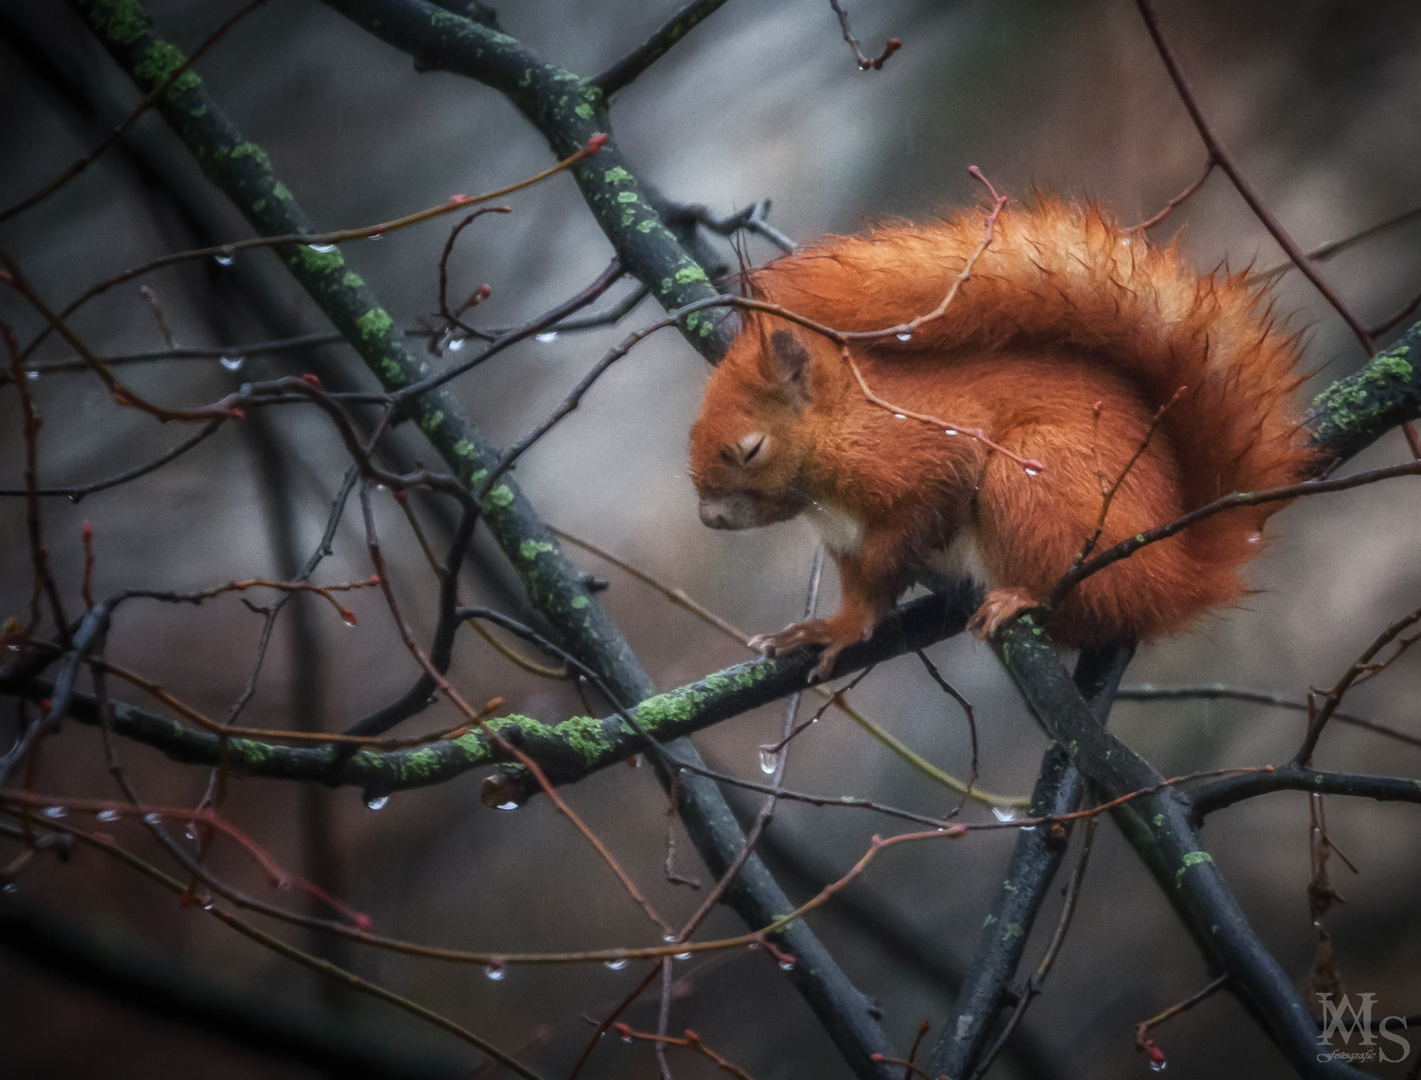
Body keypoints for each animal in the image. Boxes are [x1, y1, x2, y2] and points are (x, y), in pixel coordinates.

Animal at [684, 198, 1307, 679]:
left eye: (751, 449)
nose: (709, 518)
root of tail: (1175, 574)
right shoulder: (844, 539)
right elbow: (859, 594)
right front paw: (831, 627)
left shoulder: (924, 453)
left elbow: (903, 541)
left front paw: (845, 624)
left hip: (1031, 482)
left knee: (1092, 604)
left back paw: (1023, 596)